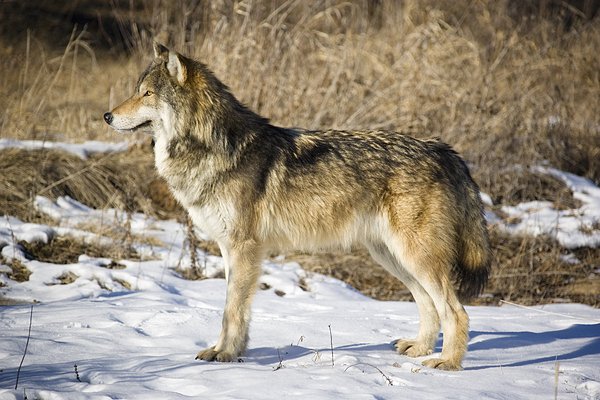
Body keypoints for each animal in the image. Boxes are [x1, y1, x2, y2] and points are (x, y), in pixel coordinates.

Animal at [103, 42, 490, 370]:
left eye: (146, 94)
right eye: (137, 90)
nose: (107, 116)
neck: (214, 147)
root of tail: (444, 150)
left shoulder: (244, 248)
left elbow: (231, 311)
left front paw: (225, 355)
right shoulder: (230, 250)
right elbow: (234, 310)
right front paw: (231, 351)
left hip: (414, 257)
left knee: (456, 311)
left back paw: (447, 363)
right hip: (392, 257)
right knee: (428, 305)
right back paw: (420, 348)